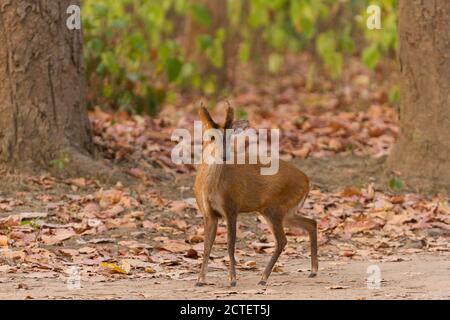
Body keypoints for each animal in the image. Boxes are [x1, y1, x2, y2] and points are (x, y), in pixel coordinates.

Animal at [193, 105, 316, 288]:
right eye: (212, 137)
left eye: (230, 136)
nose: (224, 156)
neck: (211, 187)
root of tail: (306, 179)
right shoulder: (209, 213)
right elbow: (207, 246)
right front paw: (200, 280)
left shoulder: (231, 207)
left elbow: (230, 244)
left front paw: (232, 279)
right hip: (286, 211)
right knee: (311, 223)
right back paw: (313, 271)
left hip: (275, 208)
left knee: (282, 240)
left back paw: (264, 277)